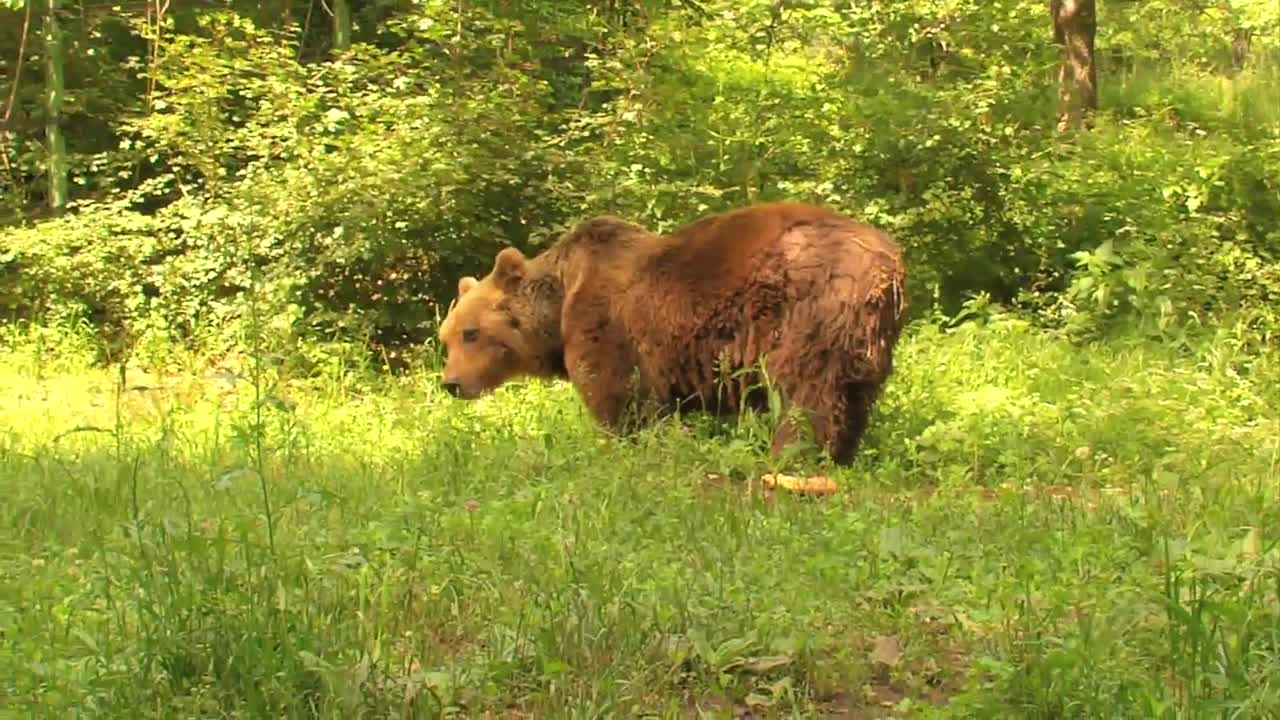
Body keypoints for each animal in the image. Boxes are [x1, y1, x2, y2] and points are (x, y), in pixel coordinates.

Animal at [440, 198, 911, 461]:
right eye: (446, 337)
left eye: (471, 333)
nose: (451, 383)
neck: (557, 309)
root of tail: (887, 263)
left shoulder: (605, 328)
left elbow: (616, 401)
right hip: (865, 339)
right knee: (851, 397)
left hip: (808, 311)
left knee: (807, 393)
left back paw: (790, 457)